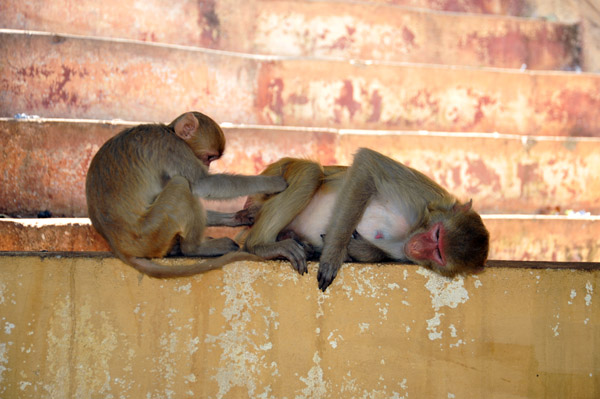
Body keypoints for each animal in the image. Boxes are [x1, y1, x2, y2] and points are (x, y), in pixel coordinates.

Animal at [85, 111, 288, 276]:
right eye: (209, 157)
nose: (207, 165)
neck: (170, 132)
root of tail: (119, 247)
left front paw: (239, 217)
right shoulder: (173, 149)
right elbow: (201, 184)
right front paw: (271, 183)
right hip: (149, 234)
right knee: (182, 185)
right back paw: (194, 248)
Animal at [241, 148, 490, 292]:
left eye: (439, 254)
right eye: (437, 234)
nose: (418, 246)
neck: (414, 228)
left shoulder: (404, 252)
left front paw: (353, 249)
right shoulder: (421, 196)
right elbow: (367, 165)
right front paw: (333, 253)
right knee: (312, 173)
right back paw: (260, 245)